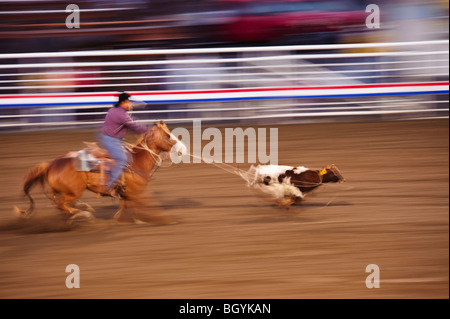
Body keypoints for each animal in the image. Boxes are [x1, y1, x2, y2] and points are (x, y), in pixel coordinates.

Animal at [13, 121, 186, 224]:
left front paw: (124, 220)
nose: (183, 149)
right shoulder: (138, 192)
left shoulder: (128, 193)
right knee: (61, 203)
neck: (136, 161)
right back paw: (84, 214)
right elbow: (150, 206)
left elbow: (125, 206)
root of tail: (51, 165)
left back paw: (80, 211)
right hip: (73, 191)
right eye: (168, 135)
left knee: (59, 204)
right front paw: (167, 219)